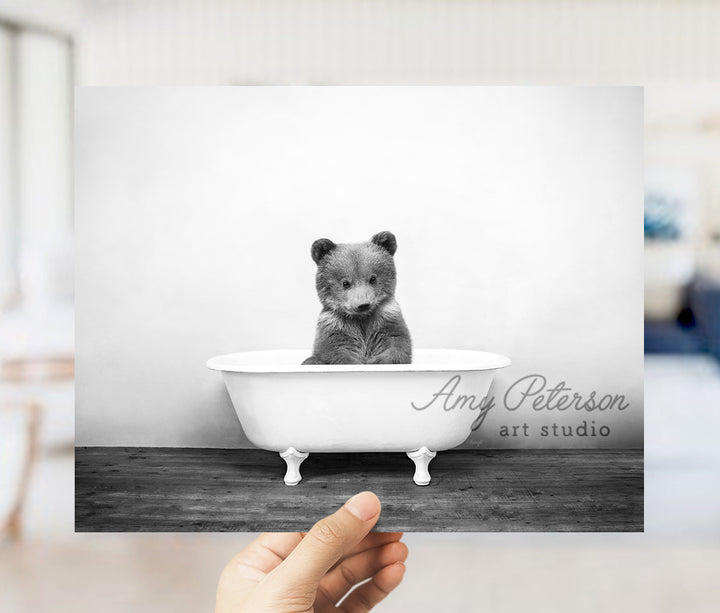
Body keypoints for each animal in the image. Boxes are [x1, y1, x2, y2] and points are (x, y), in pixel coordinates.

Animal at [302, 230, 414, 364]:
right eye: (345, 283)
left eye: (373, 278)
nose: (363, 304)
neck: (361, 318)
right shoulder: (335, 327)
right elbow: (336, 352)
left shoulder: (387, 320)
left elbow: (397, 344)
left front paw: (375, 361)